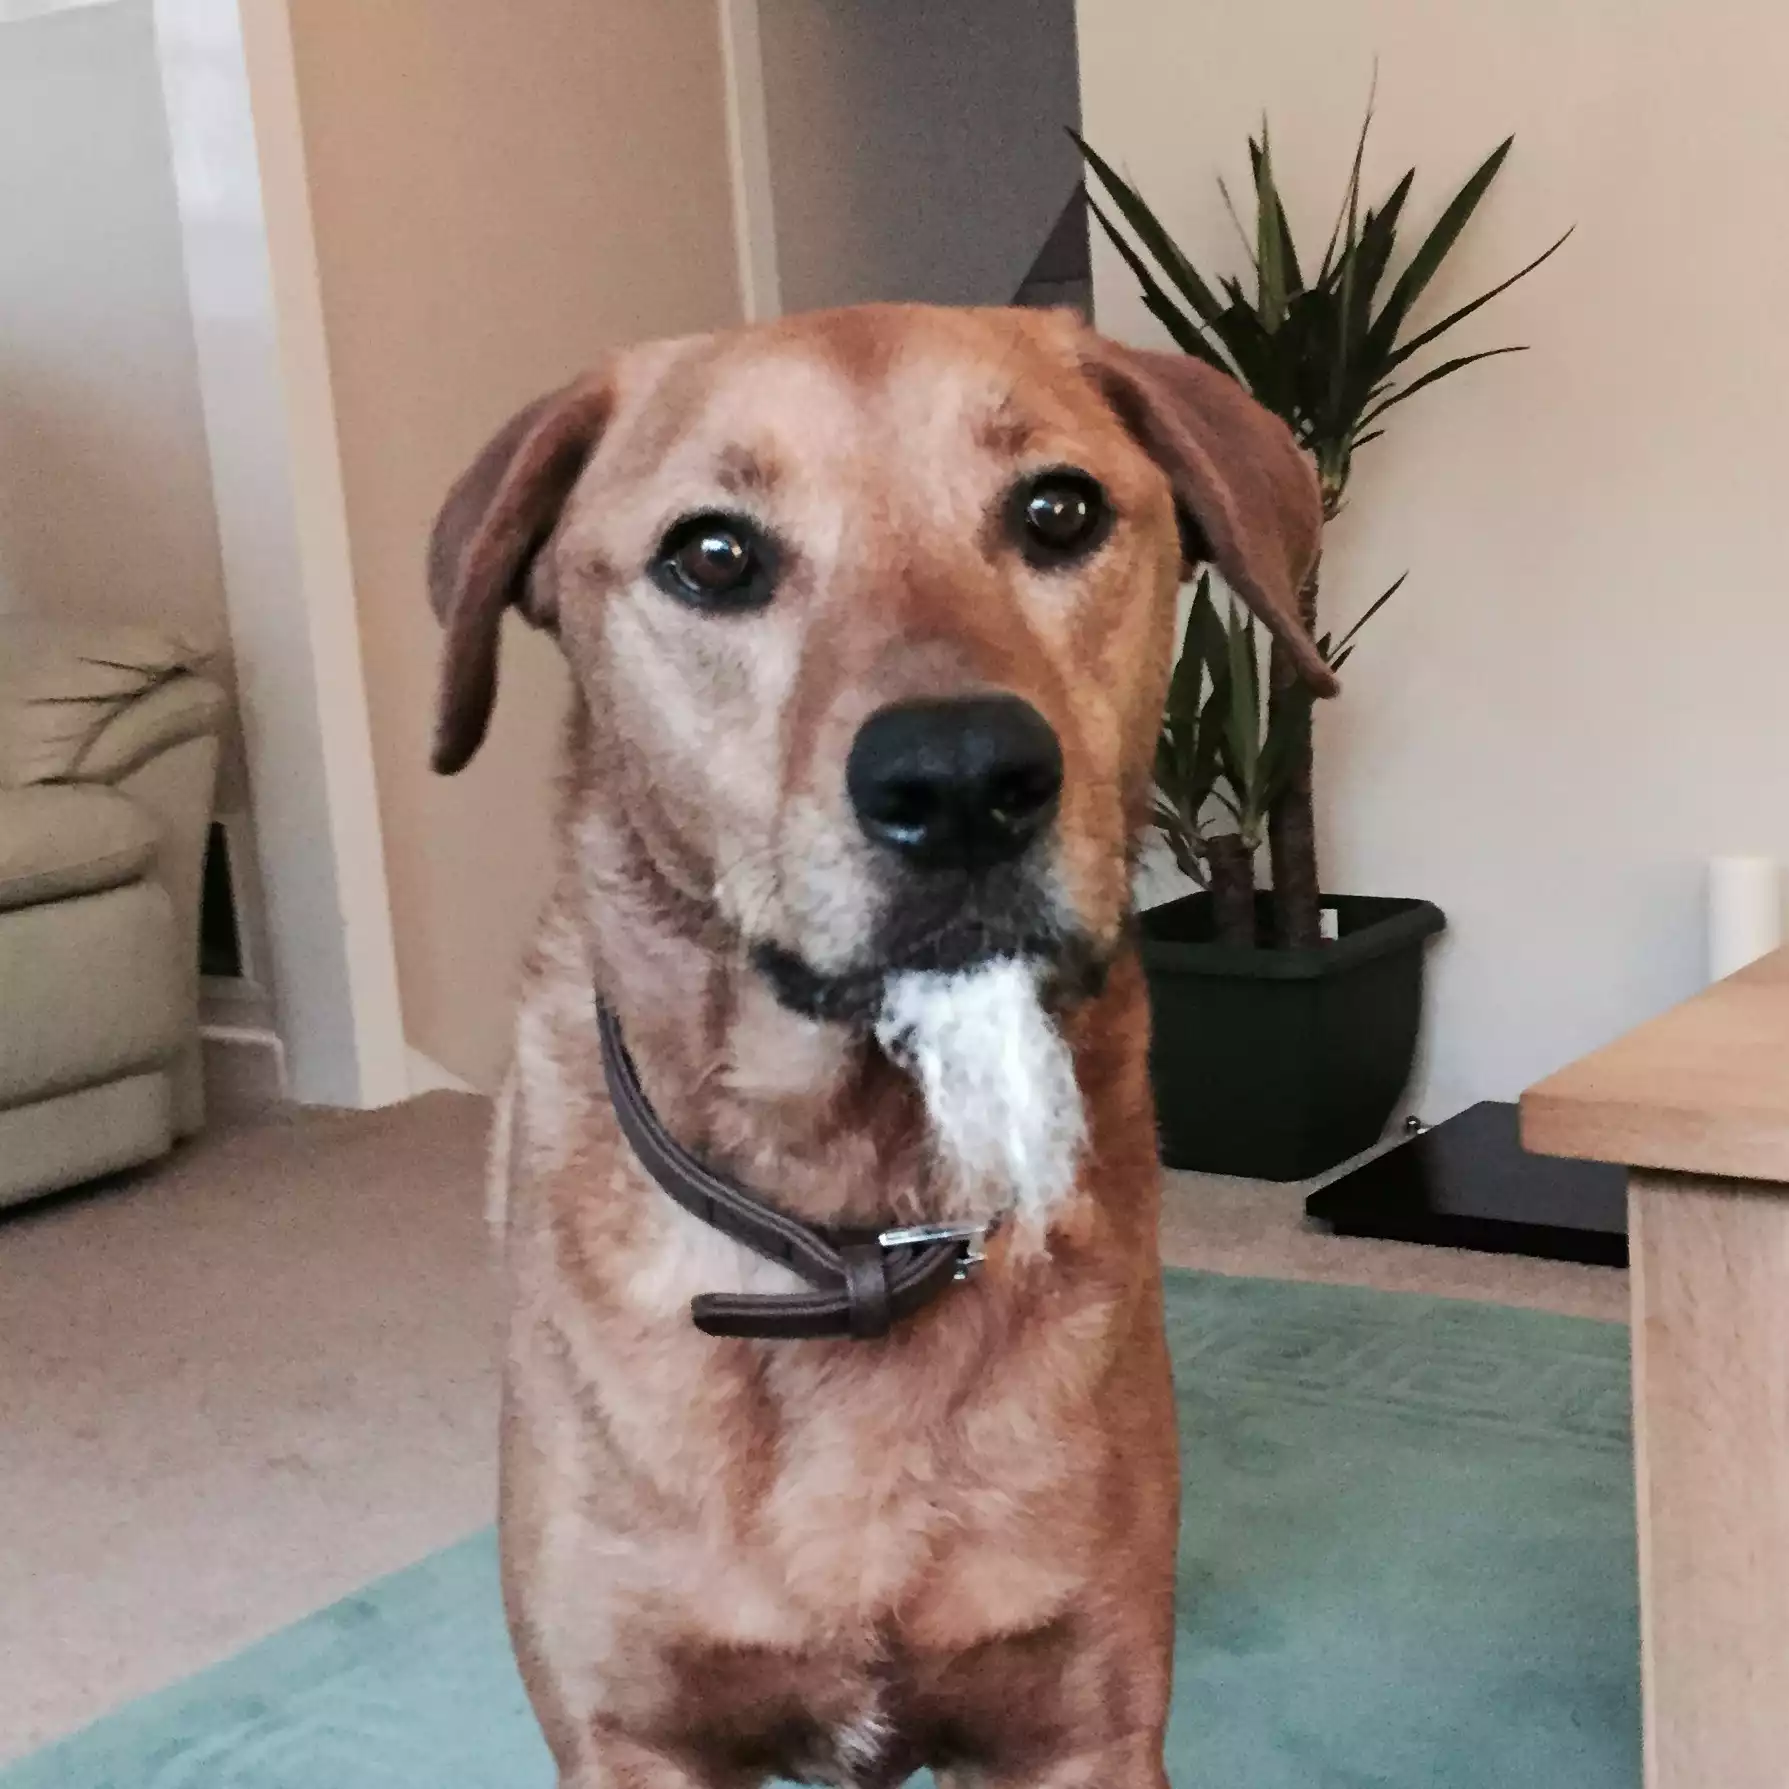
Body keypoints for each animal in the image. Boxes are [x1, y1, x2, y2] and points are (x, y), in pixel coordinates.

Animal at [428, 303, 1328, 1789]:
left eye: (1059, 509)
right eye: (713, 554)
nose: (961, 781)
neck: (849, 1218)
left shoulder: (1079, 1724)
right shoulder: (634, 1733)